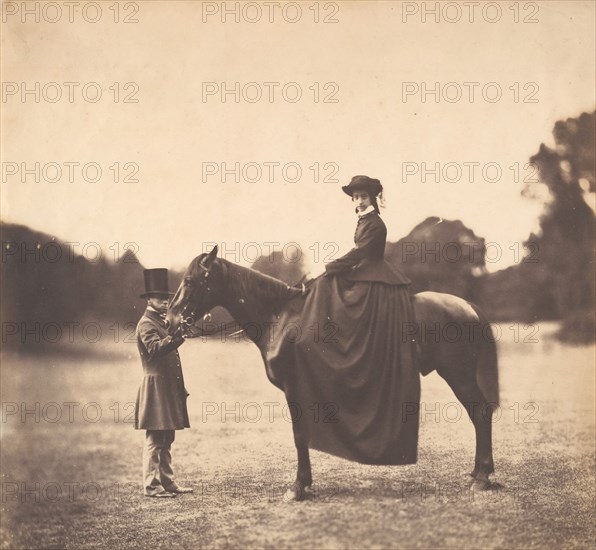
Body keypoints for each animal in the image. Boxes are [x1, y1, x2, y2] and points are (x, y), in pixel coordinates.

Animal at [165, 248, 496, 502]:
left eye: (191, 280)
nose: (169, 321)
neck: (281, 316)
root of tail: (467, 306)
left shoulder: (294, 389)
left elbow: (300, 436)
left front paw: (298, 487)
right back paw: (480, 473)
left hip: (458, 374)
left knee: (481, 413)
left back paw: (482, 477)